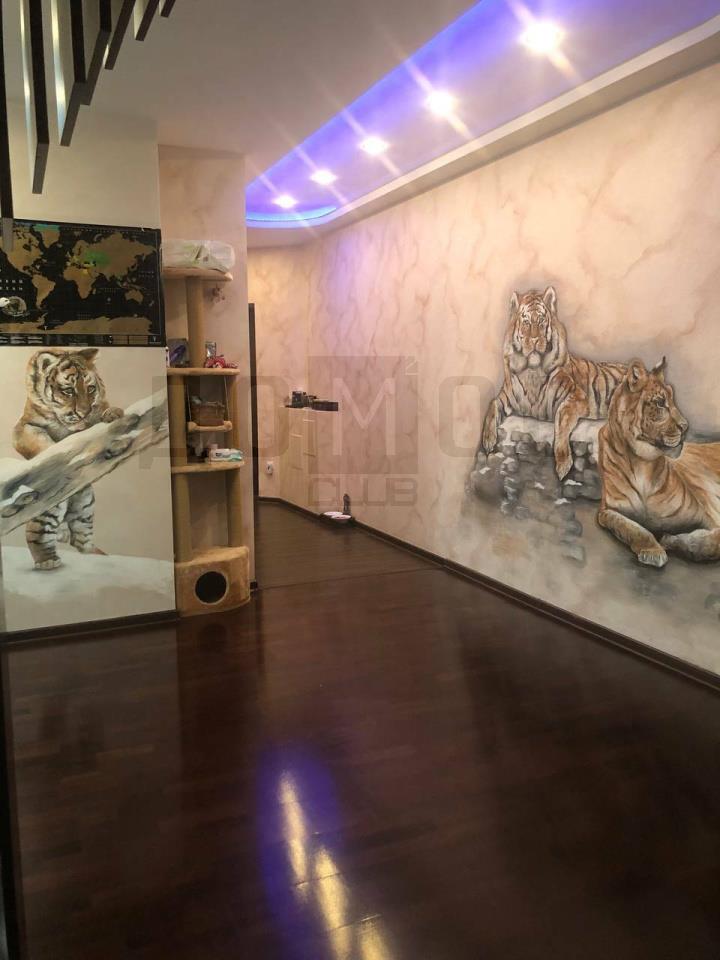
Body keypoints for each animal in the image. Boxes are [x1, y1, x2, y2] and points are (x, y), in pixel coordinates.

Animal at [12, 348, 124, 570]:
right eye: (69, 391)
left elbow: (101, 415)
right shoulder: (23, 428)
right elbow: (42, 442)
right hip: (47, 516)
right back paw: (47, 561)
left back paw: (93, 555)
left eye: (90, 389)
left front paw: (113, 413)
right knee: (36, 535)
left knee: (81, 540)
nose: (83, 413)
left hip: (85, 510)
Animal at [481, 286, 627, 479]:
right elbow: (491, 407)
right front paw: (487, 440)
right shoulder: (504, 398)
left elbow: (561, 418)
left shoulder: (576, 396)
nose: (535, 339)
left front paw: (563, 464)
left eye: (542, 320)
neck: (532, 370)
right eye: (526, 321)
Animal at [597, 357, 720, 568]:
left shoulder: (710, 514)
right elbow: (633, 528)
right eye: (660, 403)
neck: (641, 463)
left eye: (672, 399)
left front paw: (675, 541)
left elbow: (713, 542)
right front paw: (652, 550)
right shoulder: (608, 510)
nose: (686, 427)